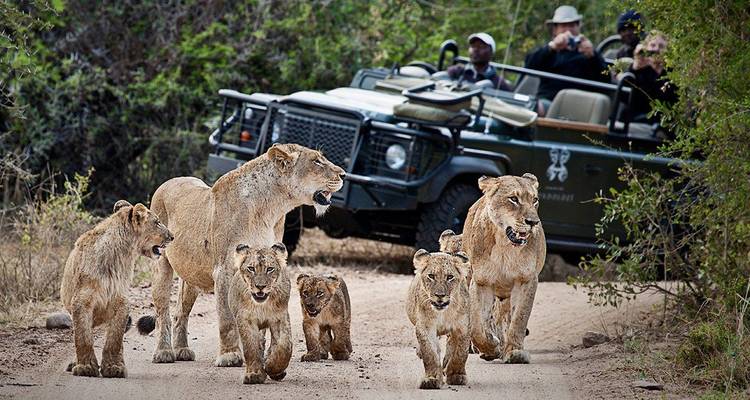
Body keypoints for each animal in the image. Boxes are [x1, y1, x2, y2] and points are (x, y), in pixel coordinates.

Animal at [60, 200, 172, 378]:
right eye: (157, 222)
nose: (172, 236)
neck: (121, 255)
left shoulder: (121, 301)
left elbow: (114, 339)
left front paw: (114, 367)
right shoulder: (81, 301)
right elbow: (83, 337)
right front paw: (85, 367)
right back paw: (74, 363)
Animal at [137, 143, 345, 367]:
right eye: (317, 161)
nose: (343, 174)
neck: (271, 209)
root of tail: (167, 182)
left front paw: (260, 355)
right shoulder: (225, 269)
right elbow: (227, 318)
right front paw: (230, 356)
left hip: (192, 275)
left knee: (180, 312)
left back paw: (182, 350)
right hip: (161, 265)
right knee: (162, 311)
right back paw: (164, 352)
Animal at [228, 243, 292, 384]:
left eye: (270, 269)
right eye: (251, 268)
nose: (260, 286)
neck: (262, 305)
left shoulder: (280, 318)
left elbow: (285, 346)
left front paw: (272, 367)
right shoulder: (246, 320)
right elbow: (251, 347)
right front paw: (255, 374)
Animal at [406, 249, 471, 389]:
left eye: (450, 277)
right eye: (431, 276)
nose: (439, 296)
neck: (443, 313)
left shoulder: (463, 327)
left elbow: (460, 353)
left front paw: (456, 376)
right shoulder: (425, 326)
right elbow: (429, 352)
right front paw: (432, 378)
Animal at [462, 173, 545, 364]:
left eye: (535, 200)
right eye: (513, 199)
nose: (533, 222)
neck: (504, 245)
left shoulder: (526, 280)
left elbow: (519, 319)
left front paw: (515, 352)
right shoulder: (481, 282)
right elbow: (477, 326)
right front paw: (490, 347)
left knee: (505, 316)